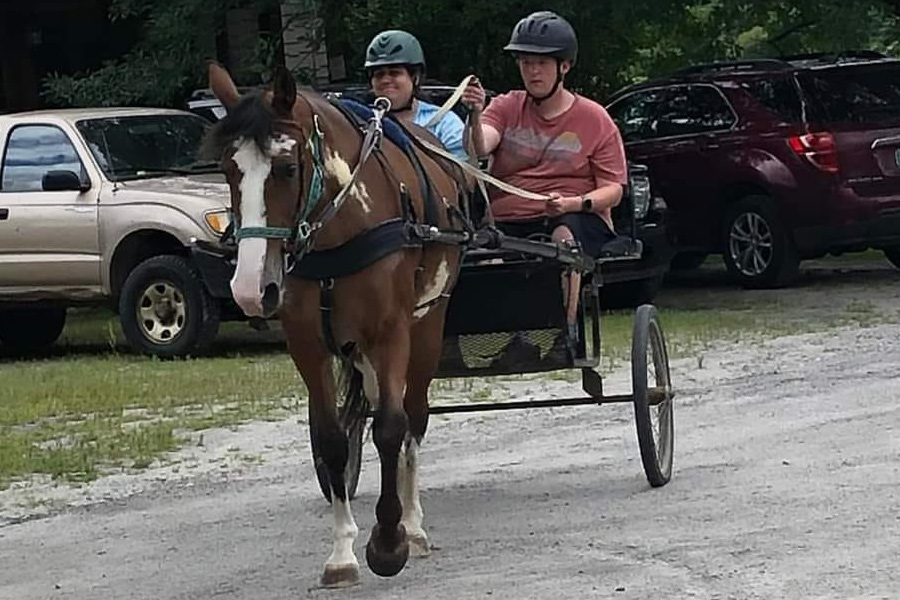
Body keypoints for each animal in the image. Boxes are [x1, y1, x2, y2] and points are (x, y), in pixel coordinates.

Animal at [206, 65, 464, 584]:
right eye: (228, 170)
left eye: (287, 168)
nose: (250, 289)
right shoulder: (308, 343)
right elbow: (332, 439)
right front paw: (343, 551)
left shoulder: (391, 333)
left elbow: (390, 426)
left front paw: (389, 542)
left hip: (428, 326)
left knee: (413, 418)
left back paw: (413, 524)